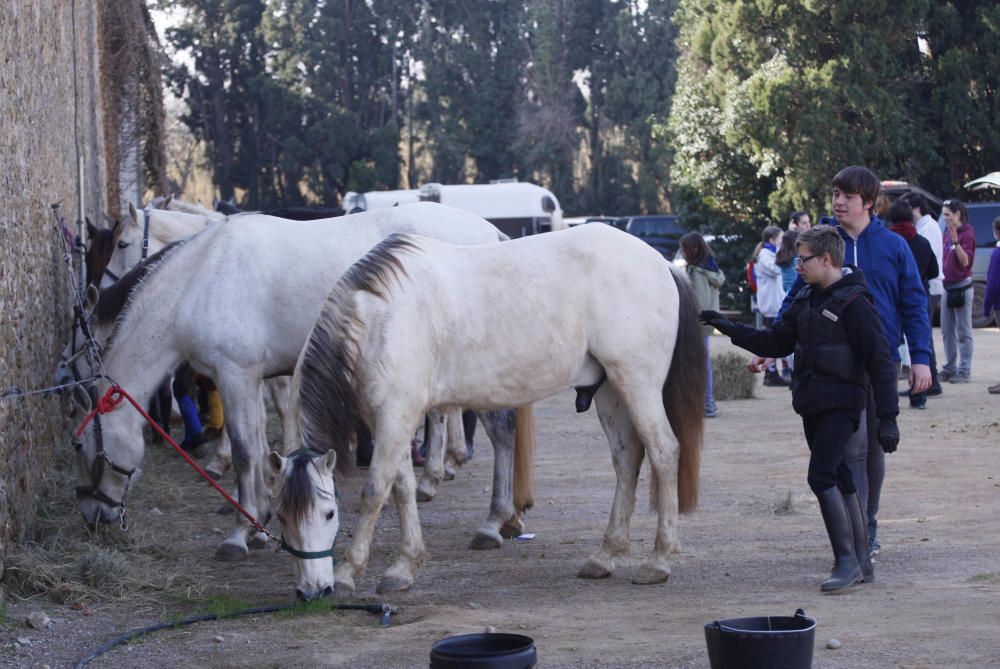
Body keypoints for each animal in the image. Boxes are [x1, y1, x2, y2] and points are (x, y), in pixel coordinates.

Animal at [74, 202, 532, 560]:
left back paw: (491, 521)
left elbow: (244, 450)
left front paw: (240, 534)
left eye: (82, 447)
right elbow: (260, 445)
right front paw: (260, 521)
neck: (202, 279)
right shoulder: (256, 377)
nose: (93, 517)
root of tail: (490, 233)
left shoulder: (235, 374)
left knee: (499, 428)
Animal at [270, 222, 708, 596]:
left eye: (329, 513)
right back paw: (605, 555)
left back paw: (659, 560)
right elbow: (402, 488)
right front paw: (404, 566)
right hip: (609, 391)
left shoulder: (396, 415)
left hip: (637, 383)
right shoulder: (391, 419)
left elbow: (376, 490)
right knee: (627, 459)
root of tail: (662, 264)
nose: (312, 591)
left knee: (663, 451)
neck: (379, 318)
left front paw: (348, 572)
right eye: (281, 515)